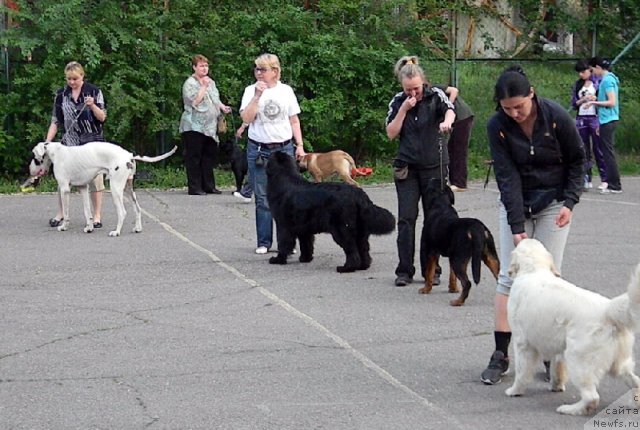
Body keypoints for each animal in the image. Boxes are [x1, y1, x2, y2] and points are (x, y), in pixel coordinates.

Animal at [29, 141, 176, 237]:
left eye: (35, 158)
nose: (30, 170)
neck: (57, 152)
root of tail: (129, 155)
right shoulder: (83, 188)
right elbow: (87, 211)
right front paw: (89, 228)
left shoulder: (65, 189)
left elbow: (66, 213)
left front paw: (64, 226)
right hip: (129, 190)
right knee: (138, 209)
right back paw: (137, 228)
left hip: (116, 190)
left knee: (122, 212)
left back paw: (116, 232)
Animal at [266, 151, 396, 272]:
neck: (285, 179)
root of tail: (359, 194)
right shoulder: (304, 228)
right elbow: (306, 244)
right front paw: (305, 258)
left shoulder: (283, 225)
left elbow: (283, 242)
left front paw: (278, 259)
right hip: (360, 230)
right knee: (363, 249)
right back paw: (362, 266)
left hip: (342, 229)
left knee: (352, 250)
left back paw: (346, 268)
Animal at [504, 237, 640, 414]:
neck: (533, 270)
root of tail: (608, 310)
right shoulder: (556, 345)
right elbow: (556, 369)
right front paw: (556, 386)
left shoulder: (522, 343)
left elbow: (521, 372)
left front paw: (515, 391)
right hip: (618, 364)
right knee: (635, 381)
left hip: (578, 360)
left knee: (592, 397)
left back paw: (569, 409)